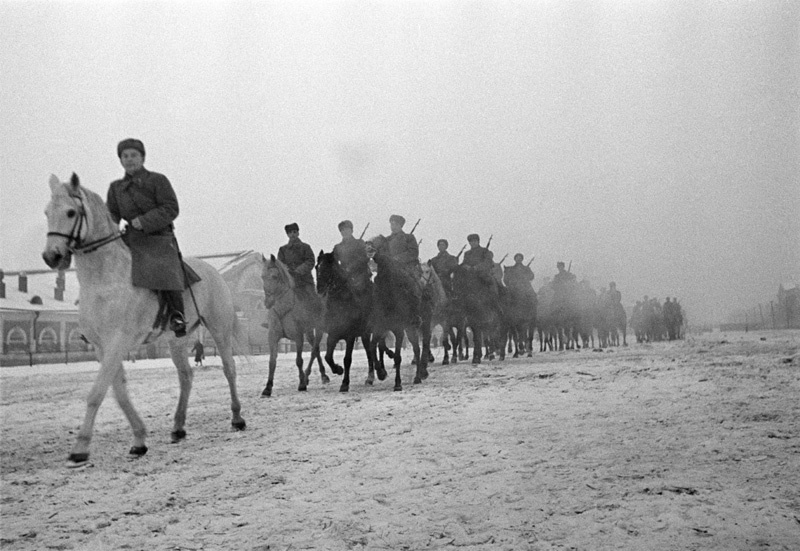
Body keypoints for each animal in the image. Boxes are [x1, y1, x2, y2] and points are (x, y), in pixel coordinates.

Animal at [43, 175, 244, 468]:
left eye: (70, 212)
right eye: (47, 212)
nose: (51, 257)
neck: (105, 280)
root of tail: (213, 272)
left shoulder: (118, 341)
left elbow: (97, 393)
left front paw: (79, 448)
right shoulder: (103, 347)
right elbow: (119, 392)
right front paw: (139, 438)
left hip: (220, 330)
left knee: (229, 370)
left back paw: (237, 417)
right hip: (177, 341)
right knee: (186, 376)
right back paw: (178, 427)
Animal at [314, 250, 380, 392]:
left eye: (327, 267)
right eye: (317, 267)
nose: (319, 289)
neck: (341, 303)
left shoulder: (350, 336)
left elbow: (347, 359)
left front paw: (344, 383)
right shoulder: (333, 335)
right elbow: (328, 357)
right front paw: (338, 369)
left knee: (372, 350)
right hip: (365, 334)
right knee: (369, 351)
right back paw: (370, 378)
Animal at [368, 235, 428, 390]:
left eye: (379, 241)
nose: (368, 246)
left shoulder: (399, 329)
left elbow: (398, 356)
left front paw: (398, 383)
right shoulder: (379, 328)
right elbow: (373, 347)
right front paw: (381, 373)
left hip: (411, 327)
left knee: (416, 349)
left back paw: (418, 377)